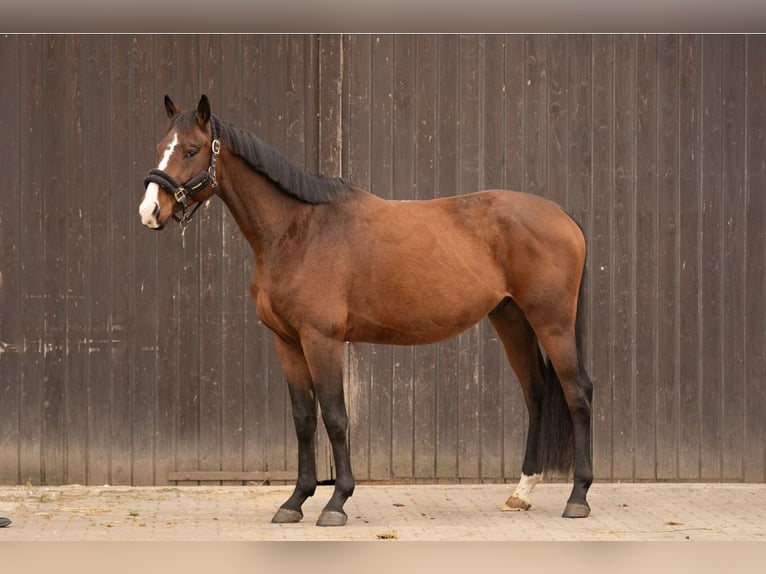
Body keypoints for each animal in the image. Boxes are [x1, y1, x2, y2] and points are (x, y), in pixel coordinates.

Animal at [140, 95, 592, 532]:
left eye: (192, 150)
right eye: (160, 147)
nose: (149, 212)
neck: (298, 231)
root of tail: (563, 216)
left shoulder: (322, 340)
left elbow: (335, 417)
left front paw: (336, 502)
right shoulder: (287, 341)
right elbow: (304, 419)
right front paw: (295, 501)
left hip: (552, 322)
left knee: (577, 393)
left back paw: (578, 498)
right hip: (511, 319)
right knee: (536, 393)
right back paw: (522, 492)